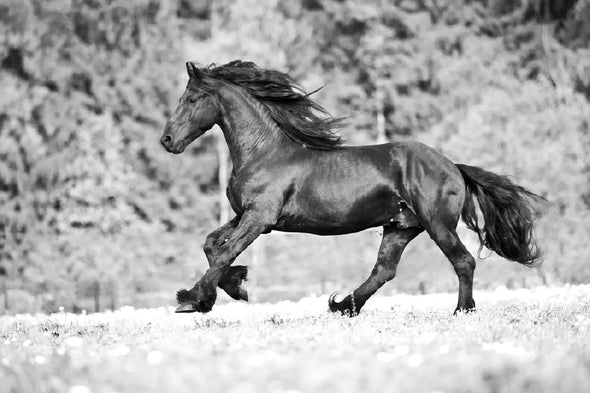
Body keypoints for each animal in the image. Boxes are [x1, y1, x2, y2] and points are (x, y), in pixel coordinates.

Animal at [160, 59, 548, 316]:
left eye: (191, 99)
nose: (167, 141)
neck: (263, 152)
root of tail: (452, 166)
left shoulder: (260, 218)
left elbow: (226, 251)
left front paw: (192, 299)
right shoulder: (246, 215)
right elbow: (212, 244)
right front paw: (233, 288)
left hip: (436, 224)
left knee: (463, 261)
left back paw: (461, 311)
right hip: (400, 226)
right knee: (384, 270)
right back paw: (343, 305)